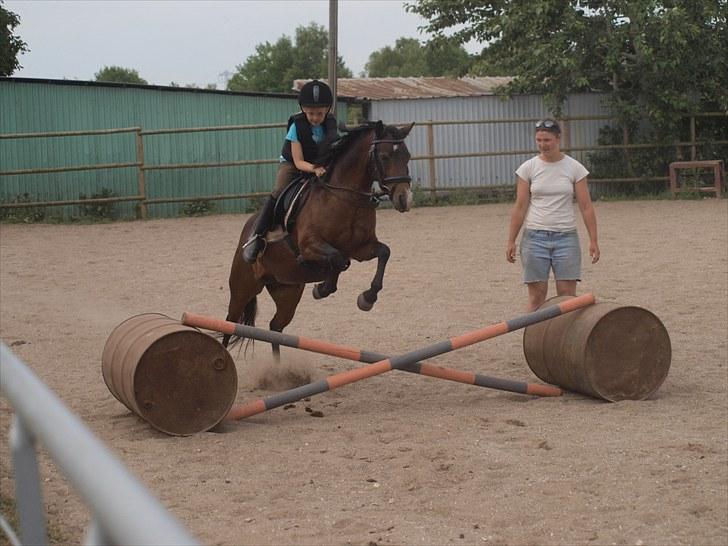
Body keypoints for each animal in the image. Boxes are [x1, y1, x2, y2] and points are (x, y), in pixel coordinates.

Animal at [222, 120, 416, 352]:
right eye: (385, 156)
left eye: (407, 157)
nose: (405, 199)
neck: (344, 197)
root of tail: (246, 231)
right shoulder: (309, 247)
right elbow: (338, 260)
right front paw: (322, 288)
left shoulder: (361, 248)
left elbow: (384, 253)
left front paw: (367, 298)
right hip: (242, 288)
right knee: (229, 323)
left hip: (287, 290)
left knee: (275, 328)